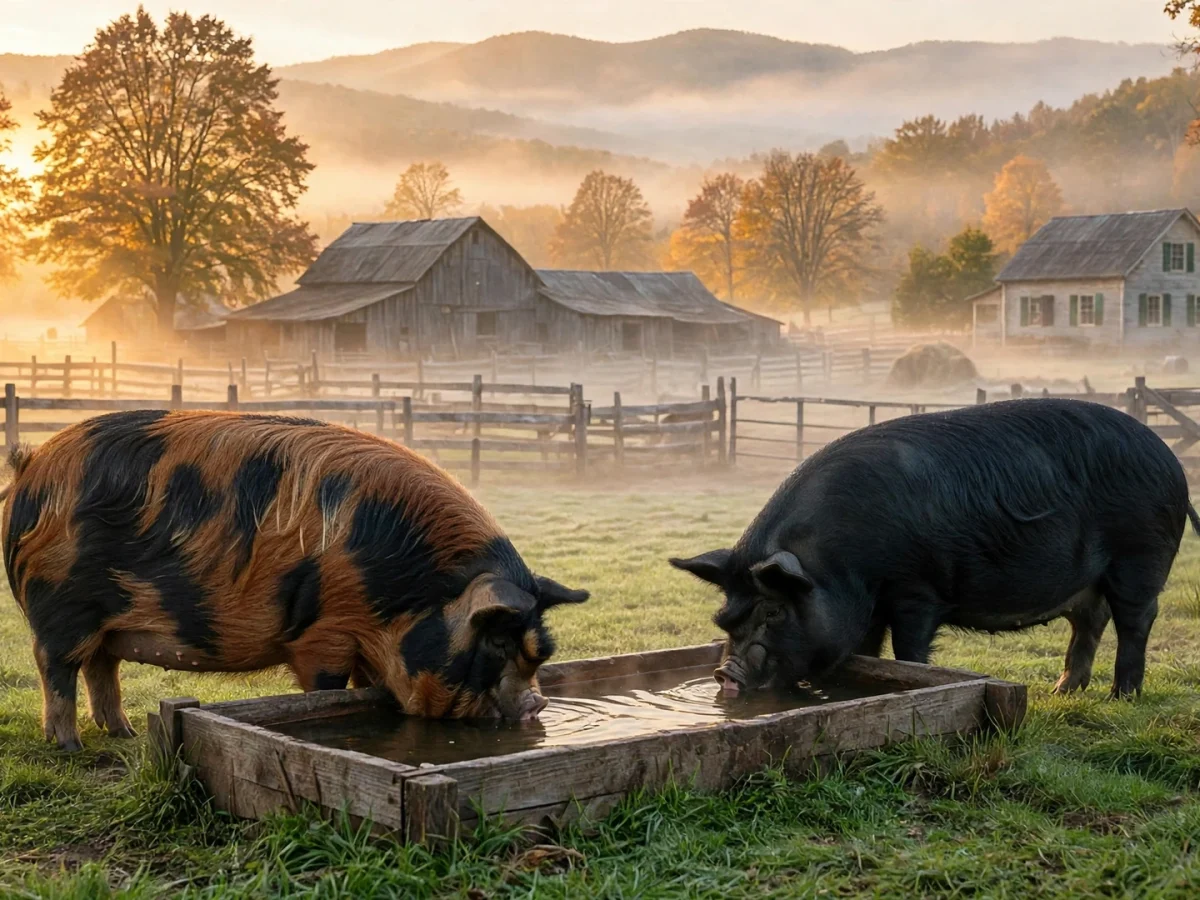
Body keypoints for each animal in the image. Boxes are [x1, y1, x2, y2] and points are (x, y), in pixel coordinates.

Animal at [1, 410, 588, 750]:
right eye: (495, 641)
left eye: (540, 652)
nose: (538, 706)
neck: (401, 593)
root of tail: (32, 469)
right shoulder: (323, 634)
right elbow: (328, 688)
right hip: (61, 608)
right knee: (55, 667)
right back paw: (70, 748)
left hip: (103, 624)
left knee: (101, 667)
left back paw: (120, 735)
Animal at [671, 399, 1198, 700]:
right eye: (724, 619)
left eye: (775, 612)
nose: (725, 673)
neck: (838, 566)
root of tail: (1171, 463)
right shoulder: (869, 608)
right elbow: (866, 650)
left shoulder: (916, 591)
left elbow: (907, 653)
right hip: (1089, 580)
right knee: (1089, 620)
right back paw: (1063, 691)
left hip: (1140, 557)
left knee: (1135, 621)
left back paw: (1121, 697)